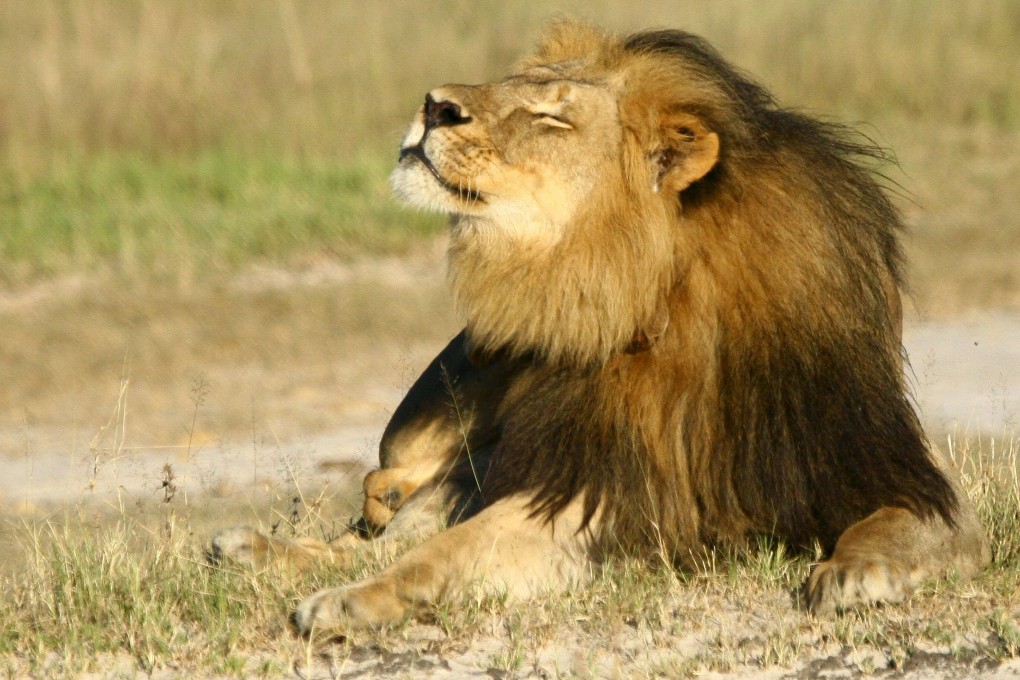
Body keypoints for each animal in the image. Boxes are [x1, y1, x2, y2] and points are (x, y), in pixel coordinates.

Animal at [210, 21, 990, 633]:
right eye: (514, 83)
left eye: (551, 118)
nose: (434, 105)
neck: (655, 293)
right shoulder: (588, 485)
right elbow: (442, 551)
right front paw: (349, 601)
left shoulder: (884, 467)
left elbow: (903, 522)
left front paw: (857, 573)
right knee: (383, 526)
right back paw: (254, 548)